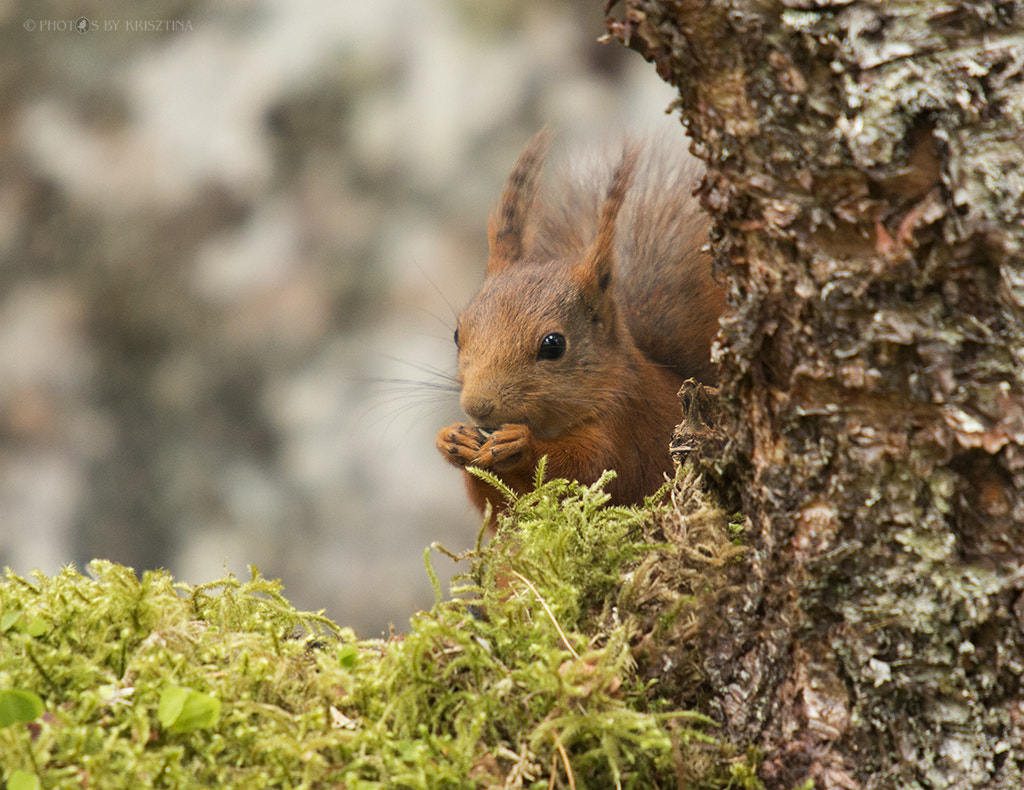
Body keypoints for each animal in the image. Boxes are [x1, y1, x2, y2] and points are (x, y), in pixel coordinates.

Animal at [435, 130, 726, 517]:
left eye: (553, 344)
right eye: (457, 334)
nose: (477, 407)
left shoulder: (621, 425)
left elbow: (589, 469)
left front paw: (520, 444)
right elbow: (495, 503)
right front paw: (452, 438)